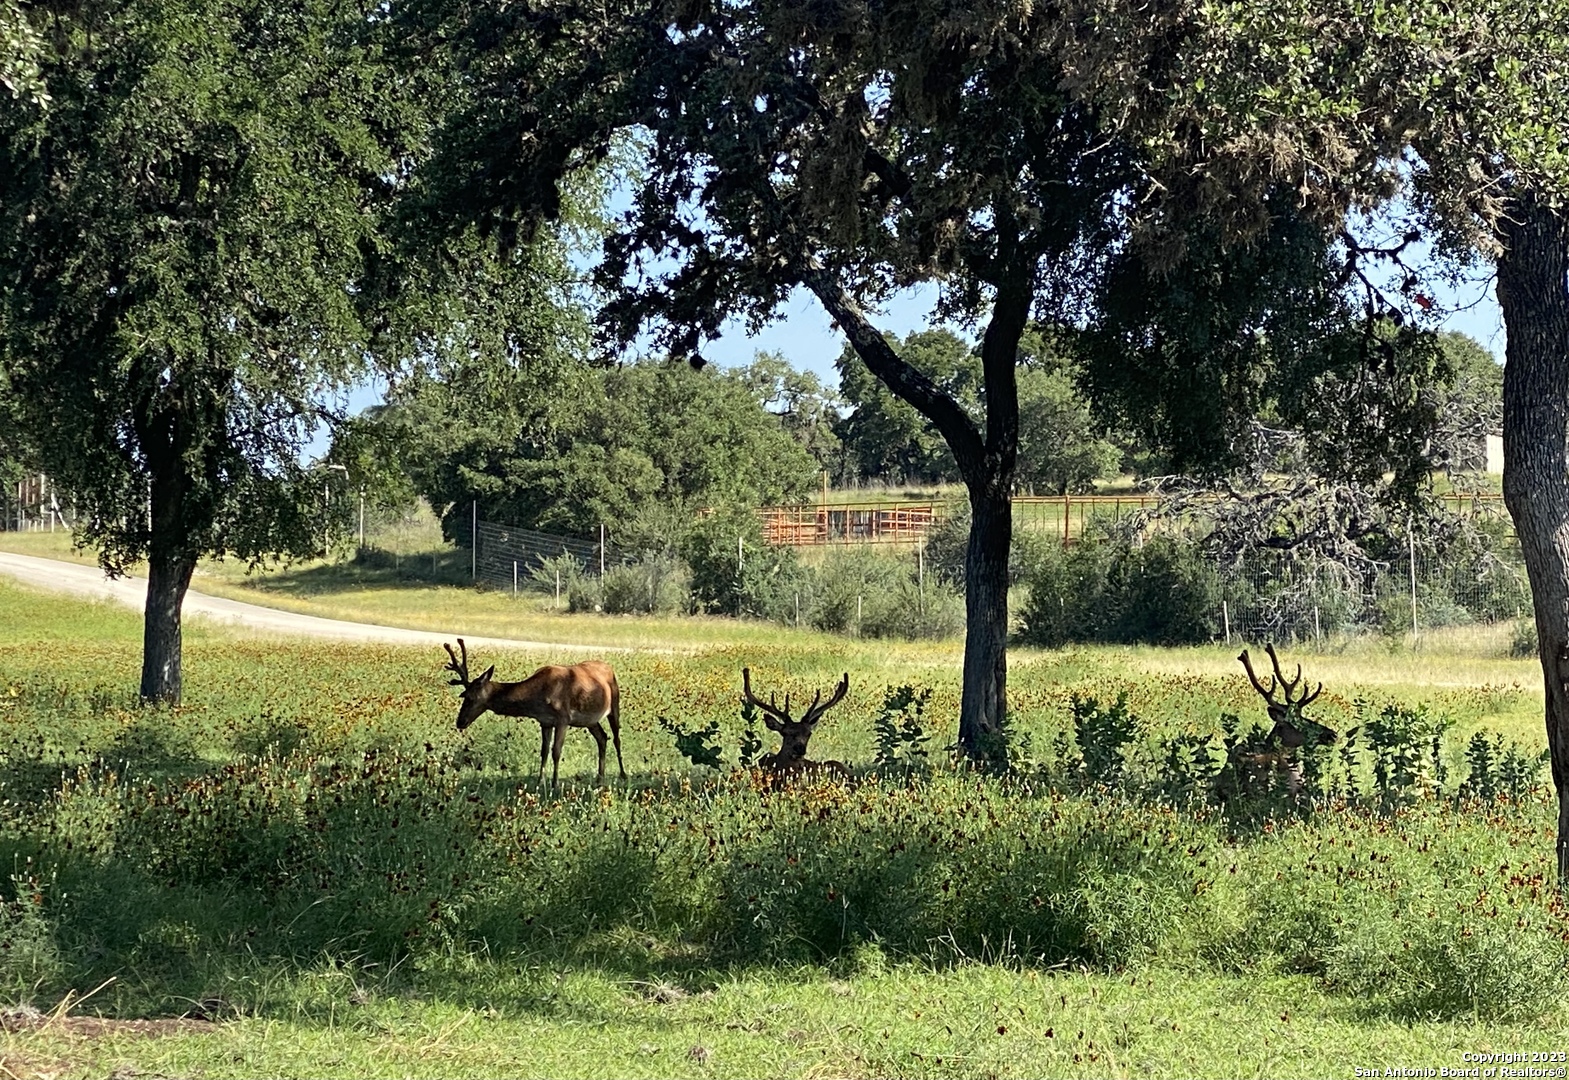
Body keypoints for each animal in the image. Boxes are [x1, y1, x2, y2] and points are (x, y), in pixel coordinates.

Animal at [443, 639, 625, 789]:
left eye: (470, 697)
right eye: (464, 696)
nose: (460, 722)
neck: (537, 696)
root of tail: (609, 667)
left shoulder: (563, 718)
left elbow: (556, 751)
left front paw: (554, 784)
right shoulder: (545, 721)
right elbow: (544, 752)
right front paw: (539, 782)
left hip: (614, 703)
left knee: (616, 738)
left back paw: (622, 774)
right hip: (590, 720)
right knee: (602, 737)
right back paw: (600, 778)